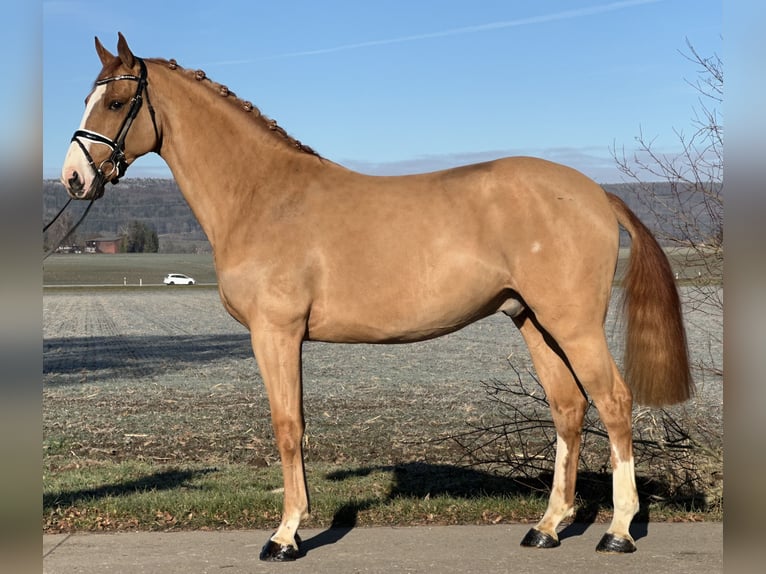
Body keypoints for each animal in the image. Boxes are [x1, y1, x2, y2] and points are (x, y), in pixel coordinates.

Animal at [60, 33, 693, 562]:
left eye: (116, 103)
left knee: (613, 401)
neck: (262, 195)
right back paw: (548, 527)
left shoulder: (276, 333)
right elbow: (297, 424)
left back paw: (618, 531)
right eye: (87, 99)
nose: (73, 178)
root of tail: (596, 192)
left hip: (573, 324)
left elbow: (287, 425)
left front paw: (285, 536)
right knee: (569, 408)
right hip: (534, 321)